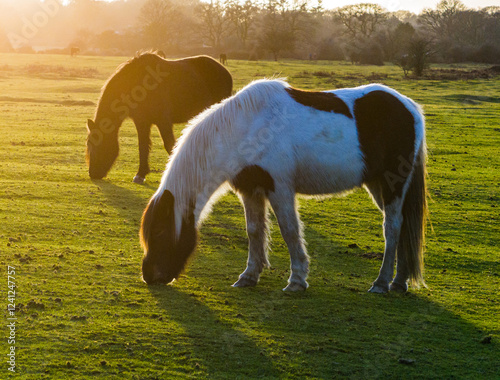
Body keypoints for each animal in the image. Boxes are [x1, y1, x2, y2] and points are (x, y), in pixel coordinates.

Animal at [85, 52, 232, 183]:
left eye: (99, 145)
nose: (93, 173)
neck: (137, 84)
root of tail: (225, 71)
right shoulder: (142, 122)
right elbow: (143, 146)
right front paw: (140, 174)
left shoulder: (163, 122)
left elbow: (170, 145)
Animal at [140, 79, 426, 294]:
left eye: (161, 232)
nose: (149, 275)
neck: (247, 128)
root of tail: (409, 106)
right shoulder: (250, 189)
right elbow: (254, 230)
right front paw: (248, 276)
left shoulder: (280, 188)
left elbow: (290, 231)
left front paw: (297, 280)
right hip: (378, 184)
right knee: (402, 227)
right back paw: (399, 282)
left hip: (393, 184)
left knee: (392, 227)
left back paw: (381, 283)